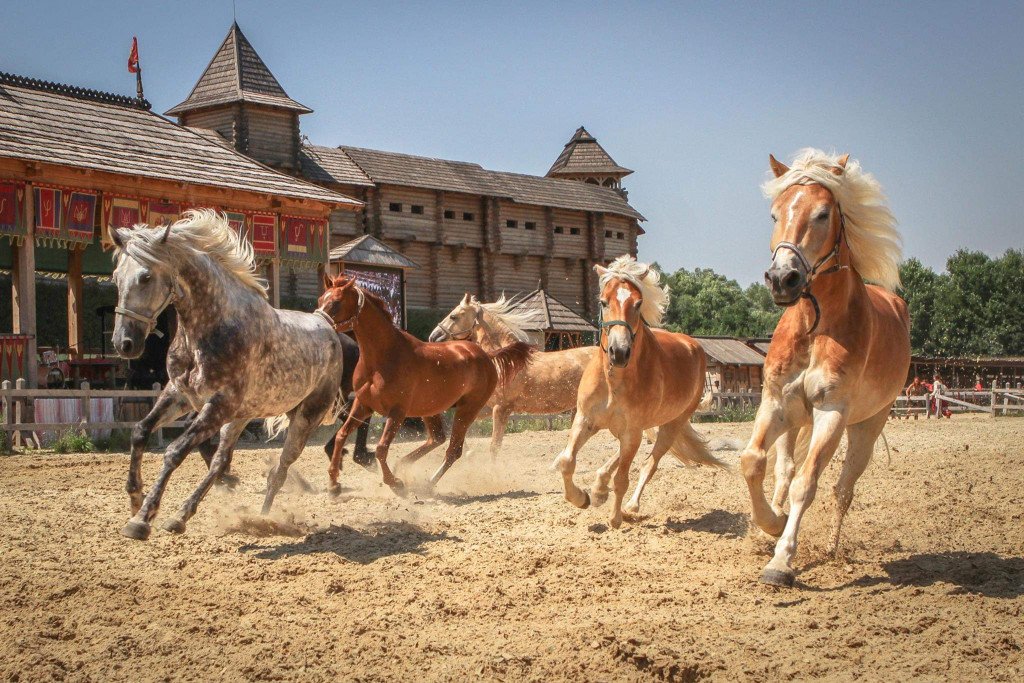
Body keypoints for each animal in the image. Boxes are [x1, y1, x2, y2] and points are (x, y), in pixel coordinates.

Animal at [315, 274, 532, 493]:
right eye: (320, 299)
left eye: (336, 302)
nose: (319, 326)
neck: (382, 358)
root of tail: (487, 355)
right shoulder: (363, 405)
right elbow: (341, 436)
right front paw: (334, 484)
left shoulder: (397, 411)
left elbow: (381, 448)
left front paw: (395, 484)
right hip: (431, 409)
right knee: (437, 438)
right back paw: (403, 466)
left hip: (468, 410)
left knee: (454, 449)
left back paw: (427, 483)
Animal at [428, 294, 598, 458]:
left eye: (454, 316)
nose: (433, 337)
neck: (505, 361)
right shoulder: (487, 407)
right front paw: (467, 452)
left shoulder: (501, 409)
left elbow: (494, 447)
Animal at [552, 255, 729, 528]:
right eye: (603, 301)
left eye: (638, 303)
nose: (619, 352)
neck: (614, 381)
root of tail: (693, 345)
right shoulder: (585, 420)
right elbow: (566, 461)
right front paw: (581, 498)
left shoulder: (632, 431)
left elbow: (623, 478)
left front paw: (615, 518)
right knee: (619, 459)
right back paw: (599, 489)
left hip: (670, 426)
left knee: (648, 464)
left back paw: (630, 506)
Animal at [741, 150, 909, 589]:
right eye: (774, 213)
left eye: (822, 214)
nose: (782, 278)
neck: (814, 327)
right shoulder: (775, 405)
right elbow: (753, 462)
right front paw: (770, 524)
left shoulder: (830, 414)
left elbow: (807, 484)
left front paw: (782, 560)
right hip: (794, 422)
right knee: (782, 469)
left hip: (866, 428)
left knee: (843, 488)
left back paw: (832, 549)